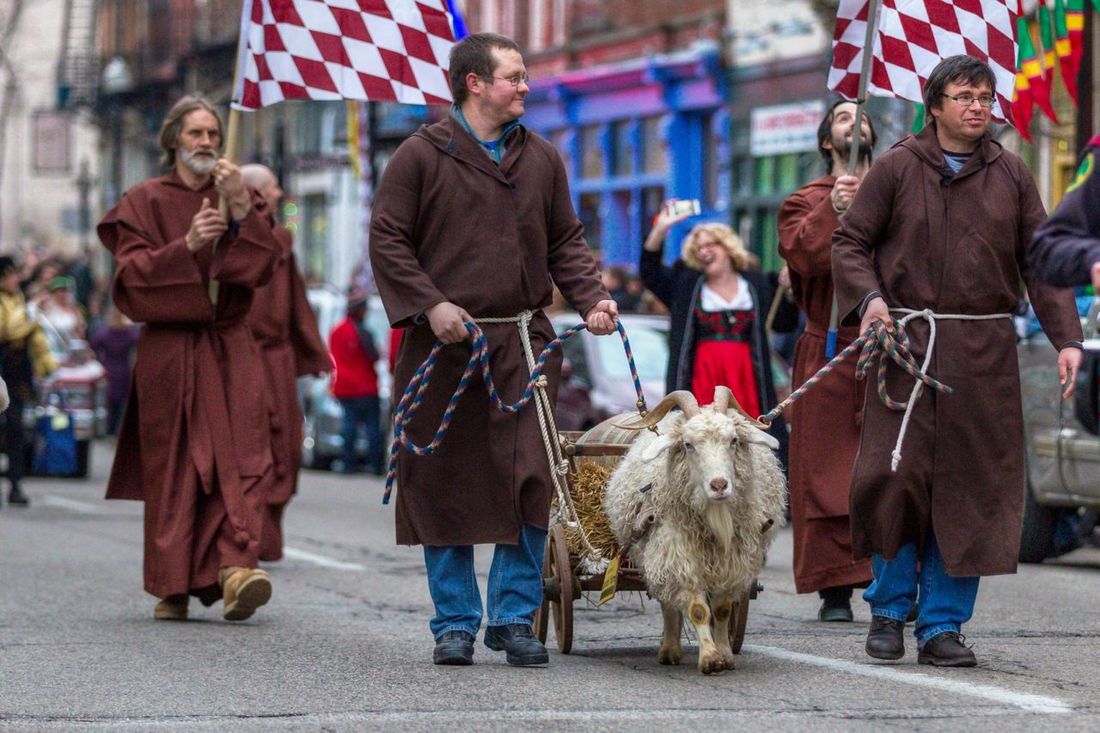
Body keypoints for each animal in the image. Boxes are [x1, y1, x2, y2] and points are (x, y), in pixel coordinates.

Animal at [602, 385, 792, 669]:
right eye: (688, 444)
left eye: (733, 440)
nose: (719, 485)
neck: (714, 521)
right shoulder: (677, 554)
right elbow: (698, 610)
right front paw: (710, 658)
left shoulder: (732, 563)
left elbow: (722, 611)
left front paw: (725, 653)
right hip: (657, 554)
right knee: (668, 604)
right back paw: (669, 650)